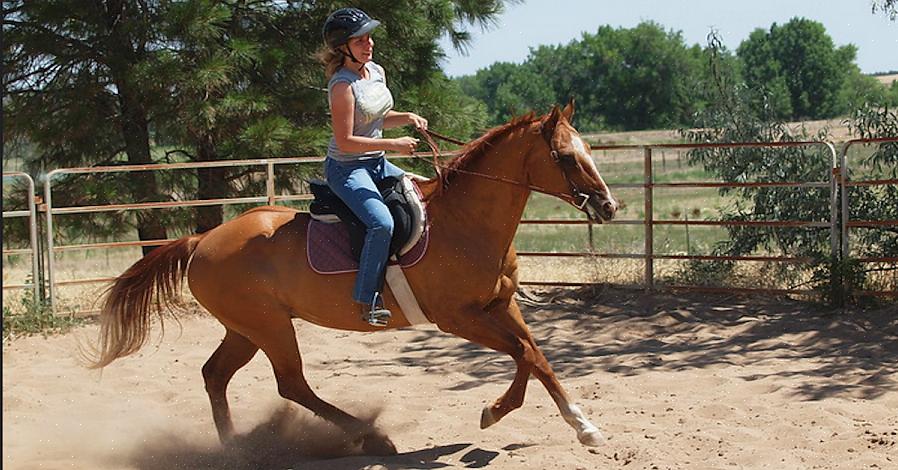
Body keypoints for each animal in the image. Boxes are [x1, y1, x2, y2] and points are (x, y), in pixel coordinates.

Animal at [89, 102, 616, 452]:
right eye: (566, 157)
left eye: (588, 149)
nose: (608, 206)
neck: (465, 222)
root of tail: (202, 241)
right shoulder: (458, 318)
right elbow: (523, 354)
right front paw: (493, 412)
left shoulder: (500, 305)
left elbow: (537, 356)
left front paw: (583, 425)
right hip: (269, 328)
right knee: (291, 385)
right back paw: (371, 437)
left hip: (245, 330)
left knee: (215, 375)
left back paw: (237, 450)